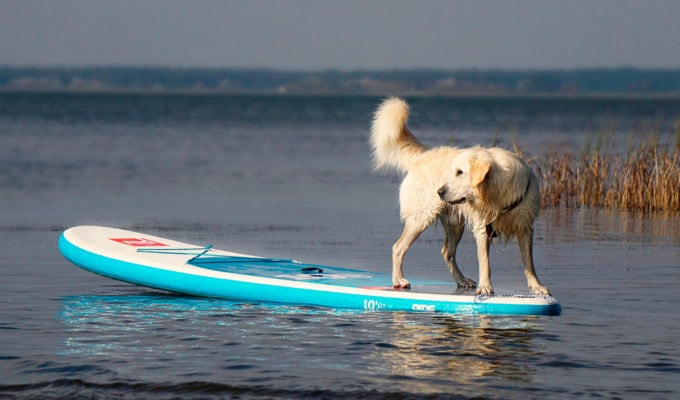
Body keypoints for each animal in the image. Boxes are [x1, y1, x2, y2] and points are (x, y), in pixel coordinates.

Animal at [370, 98, 548, 296]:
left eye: (460, 172)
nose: (439, 192)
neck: (498, 195)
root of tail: (422, 156)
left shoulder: (525, 227)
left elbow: (529, 263)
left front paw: (537, 287)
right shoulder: (482, 228)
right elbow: (485, 263)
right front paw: (485, 287)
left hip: (455, 224)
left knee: (447, 252)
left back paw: (461, 280)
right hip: (421, 217)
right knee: (398, 248)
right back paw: (399, 280)